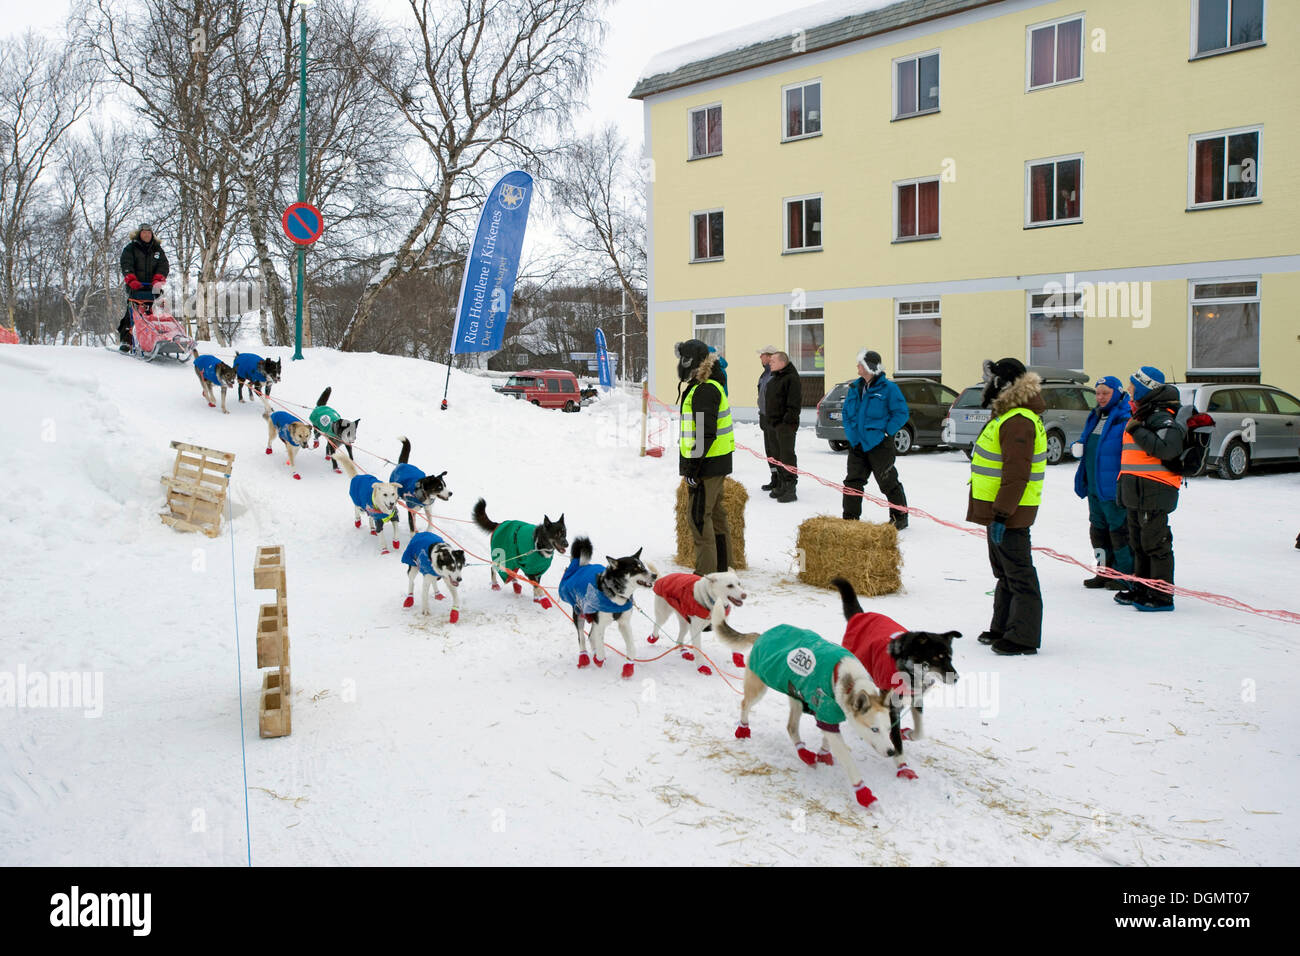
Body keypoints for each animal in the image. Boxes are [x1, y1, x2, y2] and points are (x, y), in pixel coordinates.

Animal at [559, 538, 660, 681]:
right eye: (636, 569)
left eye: (643, 566)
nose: (655, 575)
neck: (616, 594)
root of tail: (579, 566)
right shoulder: (600, 623)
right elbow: (601, 648)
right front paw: (598, 659)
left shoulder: (624, 623)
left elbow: (632, 648)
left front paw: (628, 668)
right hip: (578, 613)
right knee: (582, 638)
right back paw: (584, 658)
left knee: (591, 636)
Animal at [712, 600, 894, 811]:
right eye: (874, 729)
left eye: (889, 728)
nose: (892, 752)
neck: (851, 682)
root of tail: (763, 634)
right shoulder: (827, 713)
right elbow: (849, 762)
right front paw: (863, 793)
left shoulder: (829, 716)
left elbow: (827, 737)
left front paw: (824, 754)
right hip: (759, 688)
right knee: (746, 704)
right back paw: (744, 729)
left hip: (796, 696)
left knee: (791, 727)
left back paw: (804, 753)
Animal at [826, 580, 961, 780]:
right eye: (937, 657)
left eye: (950, 657)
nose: (957, 678)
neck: (909, 671)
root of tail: (860, 615)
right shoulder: (893, 707)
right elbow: (896, 741)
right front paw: (901, 763)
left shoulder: (916, 699)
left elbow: (919, 732)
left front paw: (910, 734)